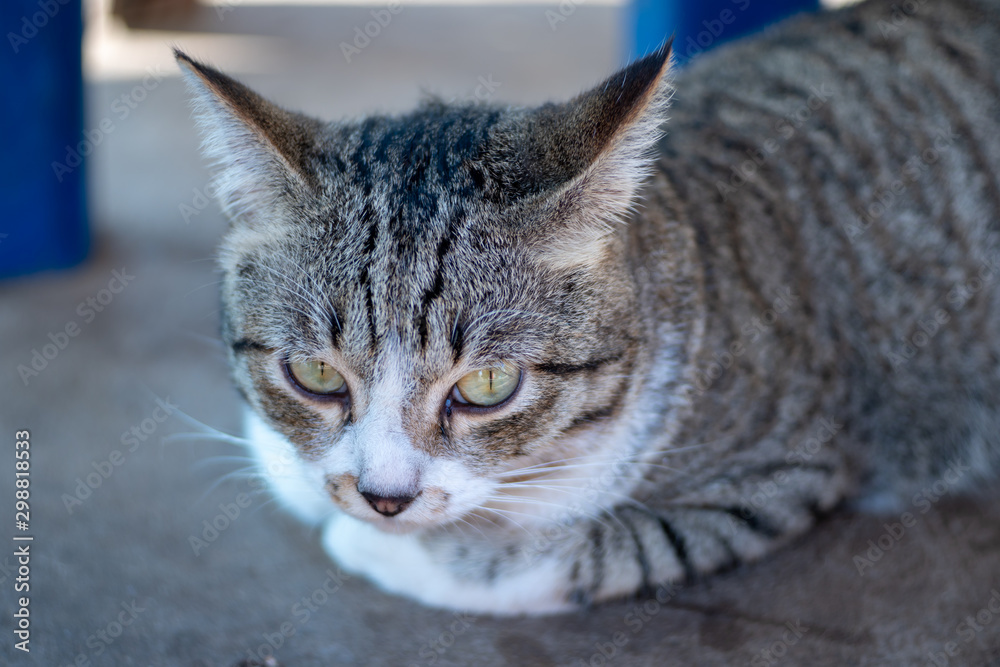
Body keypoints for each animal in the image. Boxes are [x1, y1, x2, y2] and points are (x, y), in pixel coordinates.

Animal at [176, 0, 1000, 616]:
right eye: (315, 374)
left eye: (487, 386)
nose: (384, 499)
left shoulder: (782, 471)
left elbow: (578, 551)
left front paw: (389, 549)